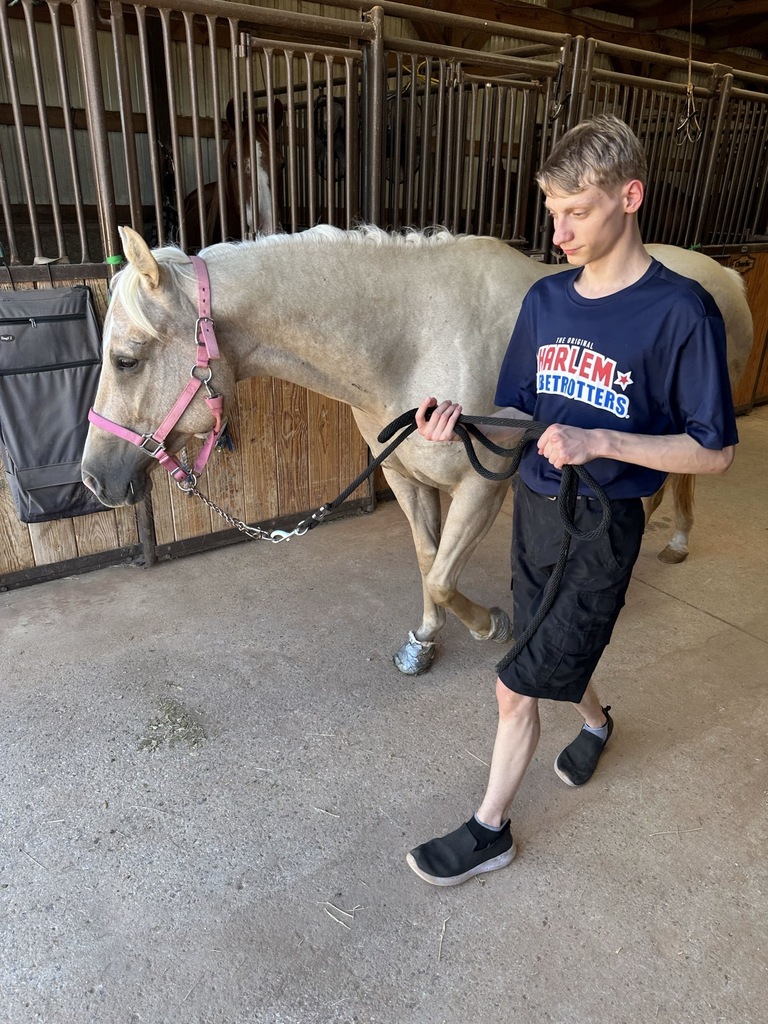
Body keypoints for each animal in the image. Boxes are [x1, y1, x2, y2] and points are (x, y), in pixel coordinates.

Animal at [81, 225, 752, 674]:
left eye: (126, 359)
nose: (93, 479)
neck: (411, 340)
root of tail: (725, 276)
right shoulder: (405, 476)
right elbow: (430, 561)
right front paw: (426, 639)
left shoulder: (483, 483)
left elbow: (444, 576)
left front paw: (492, 624)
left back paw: (676, 540)